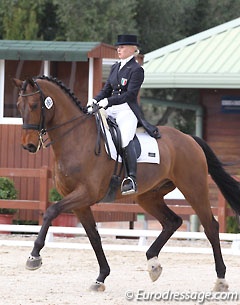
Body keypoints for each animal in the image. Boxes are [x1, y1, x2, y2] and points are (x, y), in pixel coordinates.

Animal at [12, 75, 240, 290]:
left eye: (34, 105)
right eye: (18, 106)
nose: (28, 145)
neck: (76, 139)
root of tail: (190, 139)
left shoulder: (86, 194)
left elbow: (51, 211)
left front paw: (34, 257)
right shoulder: (80, 202)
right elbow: (93, 236)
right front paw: (101, 278)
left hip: (193, 188)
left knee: (210, 226)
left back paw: (220, 279)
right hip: (148, 196)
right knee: (172, 221)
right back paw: (153, 264)